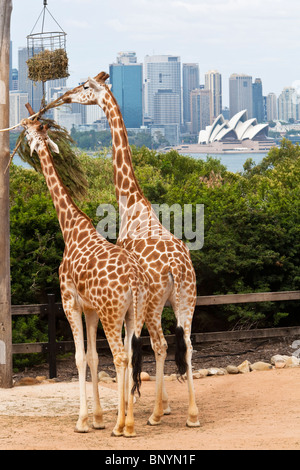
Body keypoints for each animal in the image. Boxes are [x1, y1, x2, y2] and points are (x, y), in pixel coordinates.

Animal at [19, 116, 149, 436]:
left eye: (32, 131)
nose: (24, 127)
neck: (70, 229)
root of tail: (134, 280)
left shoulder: (70, 303)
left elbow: (79, 358)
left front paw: (82, 421)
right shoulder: (90, 309)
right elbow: (92, 357)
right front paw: (98, 418)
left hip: (112, 313)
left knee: (121, 356)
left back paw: (121, 425)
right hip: (134, 313)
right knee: (132, 354)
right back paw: (128, 423)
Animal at [60, 71, 200, 428]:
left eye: (85, 87)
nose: (65, 96)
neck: (130, 203)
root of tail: (175, 268)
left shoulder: (128, 303)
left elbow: (127, 346)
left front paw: (133, 409)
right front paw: (158, 405)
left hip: (152, 303)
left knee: (158, 344)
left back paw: (152, 414)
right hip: (187, 298)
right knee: (187, 344)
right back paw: (191, 415)